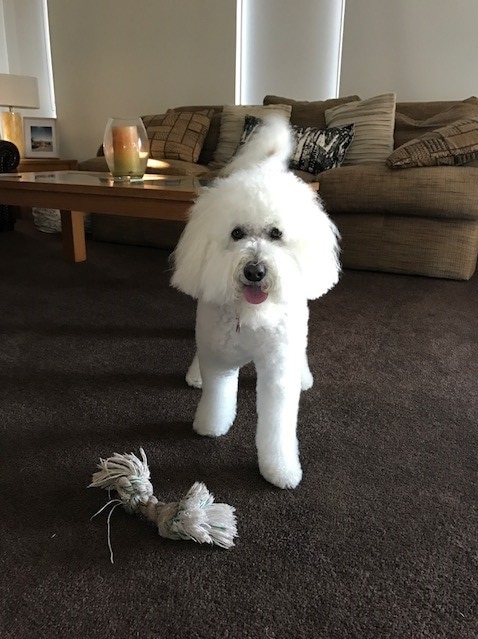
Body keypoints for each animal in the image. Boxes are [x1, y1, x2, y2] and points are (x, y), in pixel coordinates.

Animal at [171, 116, 340, 490]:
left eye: (276, 233)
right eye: (237, 233)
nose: (255, 271)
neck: (249, 314)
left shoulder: (277, 372)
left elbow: (278, 425)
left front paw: (280, 469)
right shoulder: (219, 359)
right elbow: (217, 395)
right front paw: (211, 425)